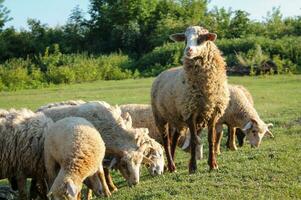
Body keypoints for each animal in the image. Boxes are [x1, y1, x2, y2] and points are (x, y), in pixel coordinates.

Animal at [151, 25, 229, 173]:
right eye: (185, 39)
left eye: (201, 38)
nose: (188, 50)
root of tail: (161, 74)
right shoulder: (190, 112)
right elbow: (193, 140)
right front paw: (193, 167)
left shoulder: (213, 112)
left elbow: (211, 139)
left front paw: (213, 164)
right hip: (160, 117)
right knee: (166, 141)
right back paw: (171, 166)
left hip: (177, 118)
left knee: (173, 140)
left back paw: (170, 166)